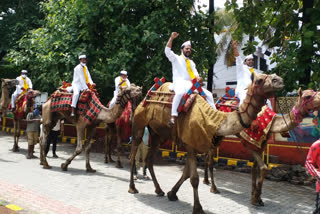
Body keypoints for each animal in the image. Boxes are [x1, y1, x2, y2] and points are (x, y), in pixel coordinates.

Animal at [127, 72, 282, 213]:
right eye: (259, 80)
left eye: (272, 76)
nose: (279, 80)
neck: (212, 120)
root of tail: (146, 96)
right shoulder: (190, 144)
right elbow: (194, 178)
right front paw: (198, 208)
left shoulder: (194, 144)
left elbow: (187, 174)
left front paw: (172, 194)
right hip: (139, 124)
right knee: (133, 155)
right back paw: (132, 188)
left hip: (158, 134)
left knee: (149, 159)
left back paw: (159, 190)